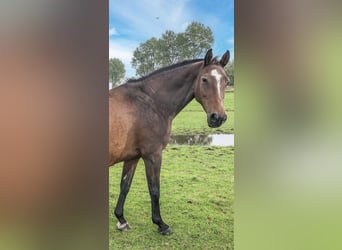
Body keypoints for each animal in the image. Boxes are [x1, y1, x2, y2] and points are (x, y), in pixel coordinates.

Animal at [109, 48, 230, 234]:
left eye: (226, 81)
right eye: (204, 79)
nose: (218, 118)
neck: (151, 102)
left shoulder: (132, 157)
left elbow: (125, 186)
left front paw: (121, 219)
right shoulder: (153, 155)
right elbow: (154, 190)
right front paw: (161, 224)